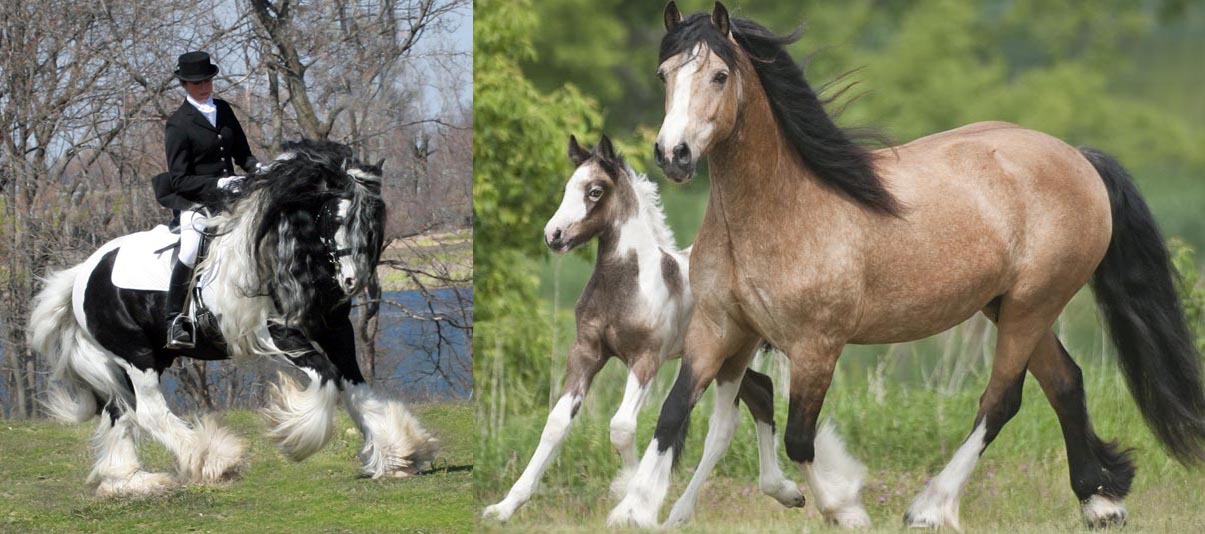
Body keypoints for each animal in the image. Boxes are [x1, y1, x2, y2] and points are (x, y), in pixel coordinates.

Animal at [28, 139, 438, 496]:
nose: (354, 281)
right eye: (333, 217)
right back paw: (213, 460)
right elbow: (326, 377)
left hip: (144, 359)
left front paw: (398, 453)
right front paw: (296, 436)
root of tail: (84, 272)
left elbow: (355, 386)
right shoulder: (277, 333)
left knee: (119, 411)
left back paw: (127, 480)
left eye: (371, 219)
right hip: (136, 356)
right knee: (149, 412)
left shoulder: (335, 329)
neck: (283, 246)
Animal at [482, 135, 809, 525]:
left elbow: (622, 427)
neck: (625, 284)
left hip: (727, 357)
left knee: (724, 426)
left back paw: (682, 511)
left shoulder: (645, 358)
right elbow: (558, 422)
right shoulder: (586, 352)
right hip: (715, 362)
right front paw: (504, 508)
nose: (554, 235)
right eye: (566, 188)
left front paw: (628, 490)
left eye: (595, 191)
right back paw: (784, 492)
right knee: (761, 392)